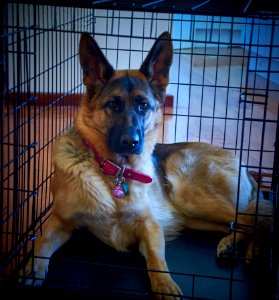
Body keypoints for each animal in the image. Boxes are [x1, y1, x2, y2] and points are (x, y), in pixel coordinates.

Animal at [20, 31, 274, 298]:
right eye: (113, 104)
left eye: (144, 105)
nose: (131, 142)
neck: (114, 171)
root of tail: (242, 162)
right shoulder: (61, 220)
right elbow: (41, 243)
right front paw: (32, 270)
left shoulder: (150, 225)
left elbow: (155, 259)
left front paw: (165, 285)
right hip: (196, 215)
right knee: (247, 218)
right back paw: (245, 248)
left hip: (189, 193)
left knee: (258, 213)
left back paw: (251, 250)